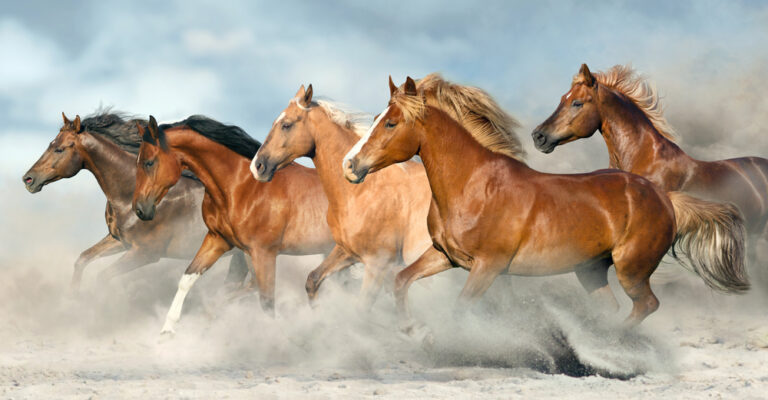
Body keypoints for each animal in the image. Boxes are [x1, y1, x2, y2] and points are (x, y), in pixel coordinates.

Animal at [22, 111, 249, 291]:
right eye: (50, 144)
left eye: (59, 149)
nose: (28, 179)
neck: (129, 195)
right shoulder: (119, 241)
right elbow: (82, 259)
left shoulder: (145, 253)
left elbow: (102, 277)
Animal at [132, 115, 334, 334]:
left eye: (149, 162)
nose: (139, 209)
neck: (241, 188)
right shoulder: (219, 240)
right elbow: (188, 278)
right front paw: (166, 332)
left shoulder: (264, 253)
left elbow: (266, 302)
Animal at [250, 85, 432, 308]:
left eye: (286, 125)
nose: (257, 166)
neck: (362, 191)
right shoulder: (347, 251)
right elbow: (312, 280)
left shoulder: (378, 263)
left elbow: (362, 307)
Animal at [343, 75, 748, 330]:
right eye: (378, 117)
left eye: (391, 123)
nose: (350, 165)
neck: (472, 185)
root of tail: (666, 197)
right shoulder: (447, 256)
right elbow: (401, 281)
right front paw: (412, 330)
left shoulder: (488, 266)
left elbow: (460, 309)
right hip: (590, 271)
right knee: (613, 308)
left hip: (631, 270)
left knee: (645, 306)